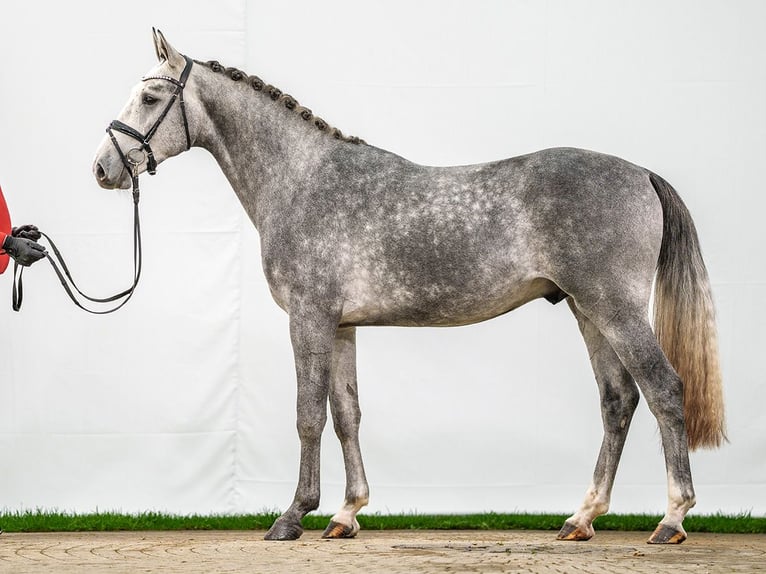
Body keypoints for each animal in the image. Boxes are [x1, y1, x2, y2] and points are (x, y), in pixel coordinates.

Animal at [93, 30, 724, 544]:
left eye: (150, 98)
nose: (103, 168)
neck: (302, 180)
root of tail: (641, 173)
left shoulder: (308, 318)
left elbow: (307, 415)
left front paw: (294, 516)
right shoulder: (341, 326)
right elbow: (346, 414)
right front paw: (346, 514)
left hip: (615, 308)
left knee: (665, 390)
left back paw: (672, 519)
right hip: (587, 311)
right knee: (618, 401)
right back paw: (582, 518)